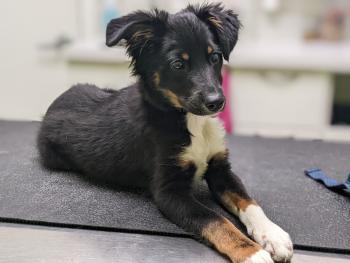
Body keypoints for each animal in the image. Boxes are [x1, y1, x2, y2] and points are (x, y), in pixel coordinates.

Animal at [37, 4, 292, 263]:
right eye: (178, 64)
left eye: (215, 57)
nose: (217, 102)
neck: (189, 121)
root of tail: (58, 100)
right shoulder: (169, 191)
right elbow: (216, 220)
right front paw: (251, 252)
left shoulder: (221, 169)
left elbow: (249, 201)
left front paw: (272, 234)